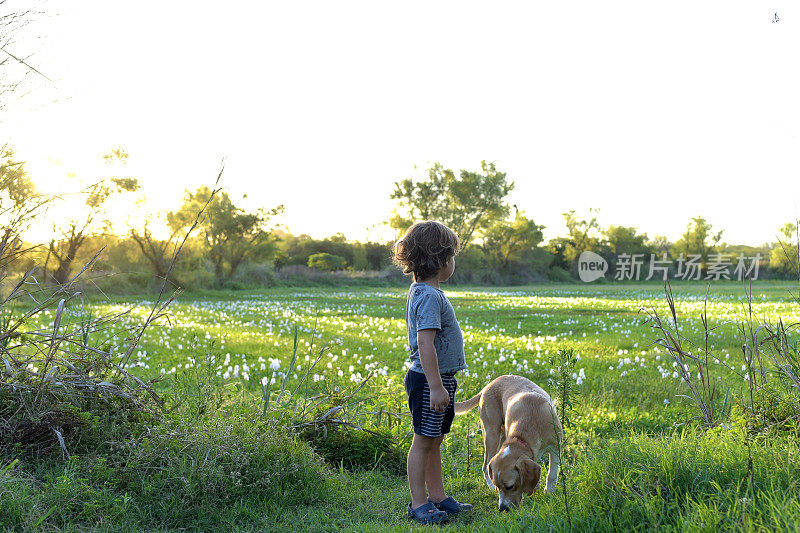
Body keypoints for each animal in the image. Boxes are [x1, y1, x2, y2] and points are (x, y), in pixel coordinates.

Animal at [456, 372, 564, 510]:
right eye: (499, 486)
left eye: (510, 486)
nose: (502, 509)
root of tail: (486, 387)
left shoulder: (556, 447)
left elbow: (552, 474)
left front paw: (549, 492)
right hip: (491, 434)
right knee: (485, 466)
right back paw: (490, 487)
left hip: (499, 436)